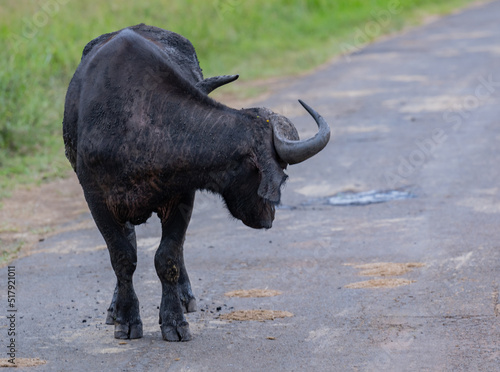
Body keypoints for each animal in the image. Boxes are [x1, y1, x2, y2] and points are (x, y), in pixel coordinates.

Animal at [62, 24, 330, 340]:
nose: (270, 217)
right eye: (282, 169)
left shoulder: (182, 196)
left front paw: (174, 320)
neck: (139, 124)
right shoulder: (97, 200)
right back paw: (114, 308)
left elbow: (167, 257)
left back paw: (183, 296)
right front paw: (126, 319)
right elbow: (123, 257)